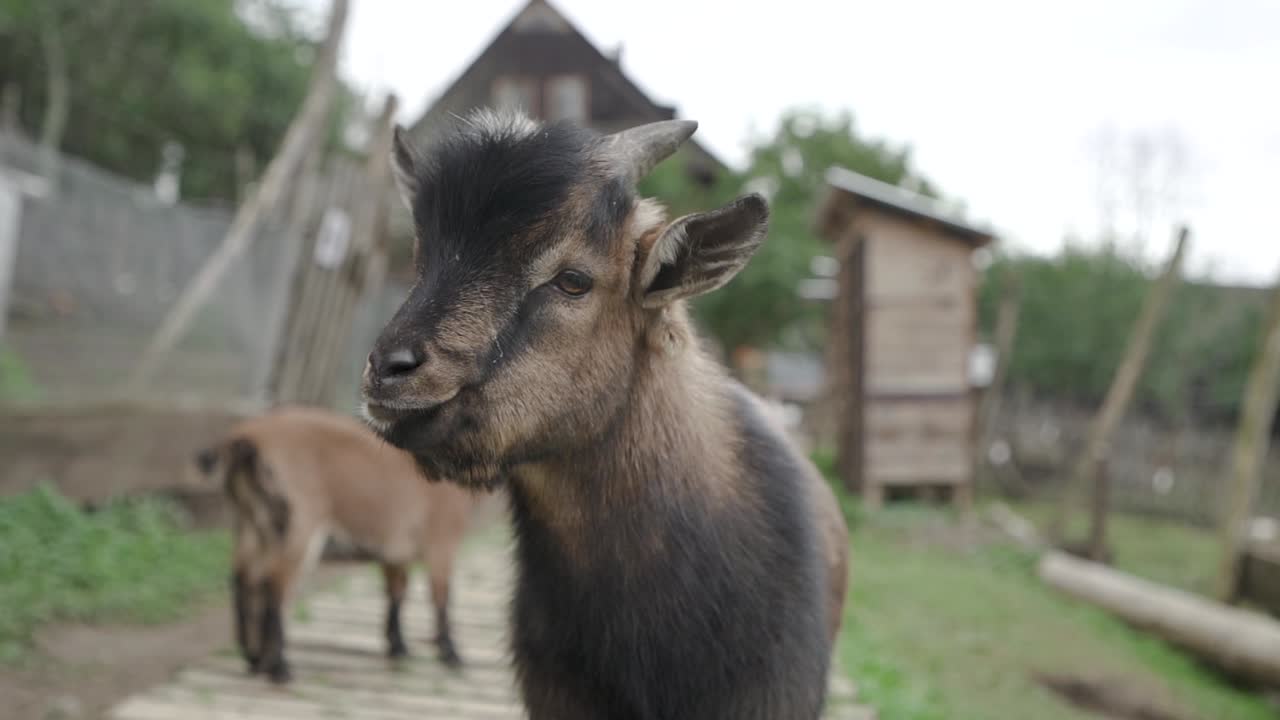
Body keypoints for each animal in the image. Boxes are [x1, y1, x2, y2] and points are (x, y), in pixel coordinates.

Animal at [191, 405, 491, 683]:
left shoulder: (395, 548)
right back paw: (279, 668)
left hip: (253, 523)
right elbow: (441, 596)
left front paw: (398, 647)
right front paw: (451, 654)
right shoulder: (441, 538)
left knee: (244, 578)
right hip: (299, 524)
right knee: (274, 585)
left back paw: (254, 660)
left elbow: (396, 591)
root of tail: (246, 436)